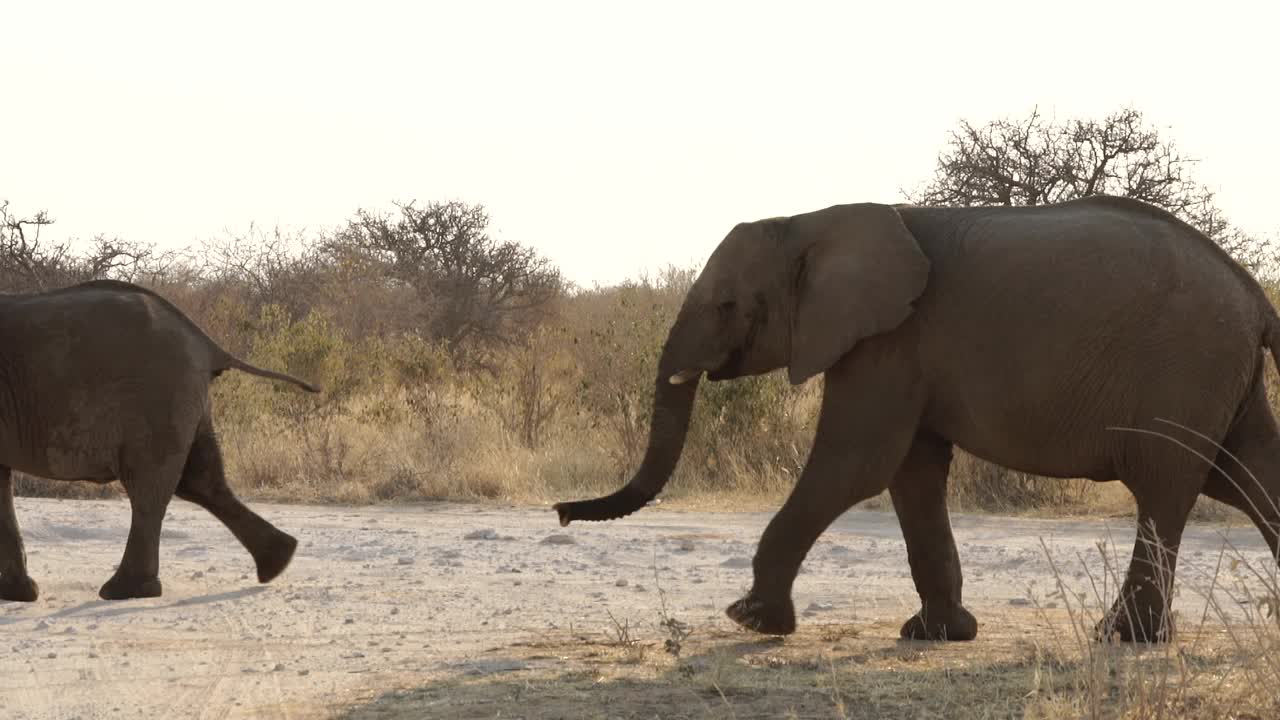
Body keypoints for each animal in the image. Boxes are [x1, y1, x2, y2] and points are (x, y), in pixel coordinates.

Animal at [0, 279, 320, 599]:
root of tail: (208, 344)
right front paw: (18, 595)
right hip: (182, 402)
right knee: (201, 481)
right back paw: (277, 562)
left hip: (157, 400)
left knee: (150, 487)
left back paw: (124, 590)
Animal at [555, 194, 1280, 638]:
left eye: (729, 305)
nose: (561, 511)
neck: (810, 220)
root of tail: (1254, 296)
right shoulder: (898, 347)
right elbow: (909, 472)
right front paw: (938, 635)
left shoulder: (889, 340)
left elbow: (855, 464)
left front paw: (750, 620)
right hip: (1218, 379)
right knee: (1243, 476)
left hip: (1186, 367)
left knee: (1166, 486)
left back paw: (1123, 639)